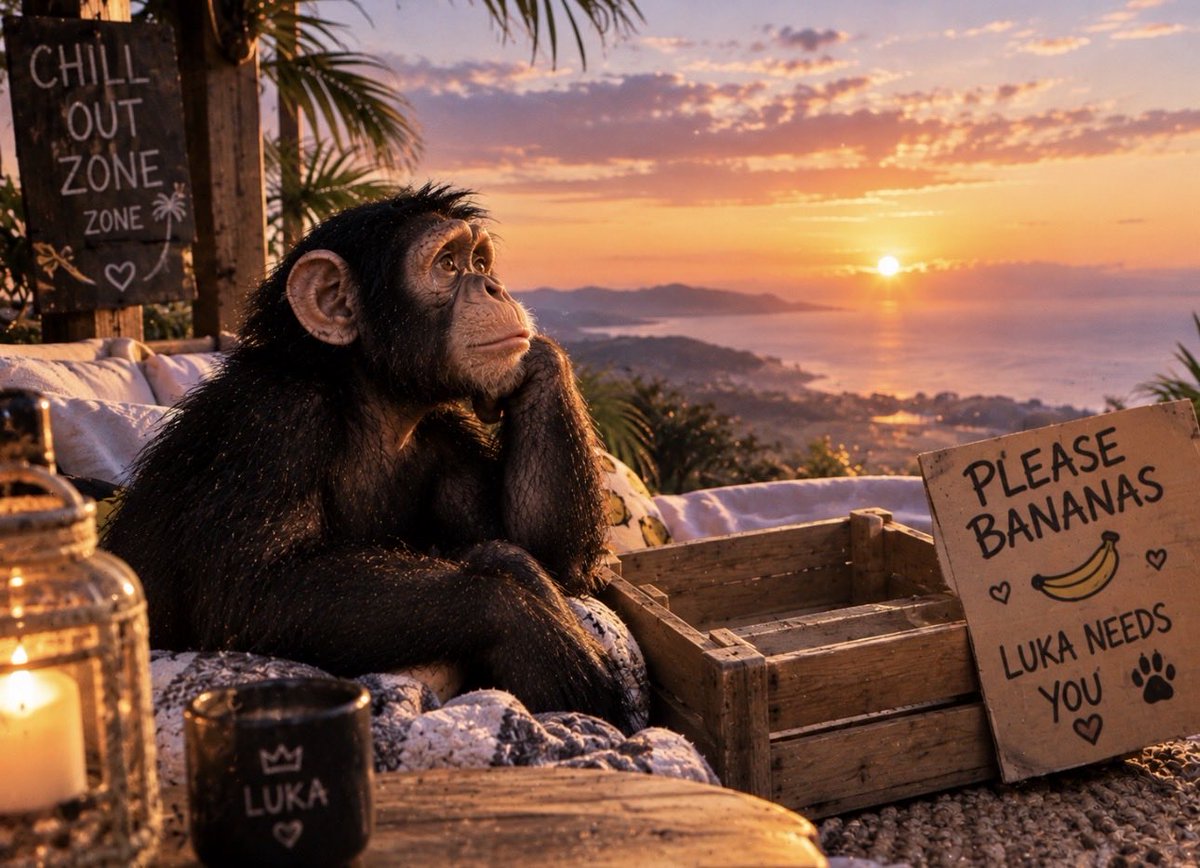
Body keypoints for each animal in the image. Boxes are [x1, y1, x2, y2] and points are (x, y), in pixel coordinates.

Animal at [102, 183, 635, 732]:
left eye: (479, 263)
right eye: (447, 263)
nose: (493, 287)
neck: (372, 401)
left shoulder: (451, 437)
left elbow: (544, 550)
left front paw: (541, 361)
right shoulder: (273, 422)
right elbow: (251, 591)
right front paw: (532, 630)